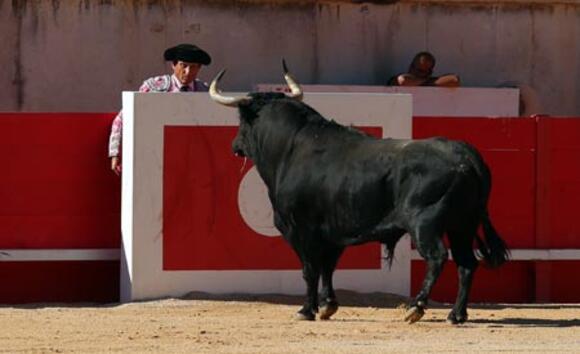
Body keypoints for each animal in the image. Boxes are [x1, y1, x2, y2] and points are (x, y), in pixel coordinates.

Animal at [208, 64, 508, 324]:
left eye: (242, 120)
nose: (235, 146)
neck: (291, 148)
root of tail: (463, 154)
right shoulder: (333, 232)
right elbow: (327, 267)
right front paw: (328, 306)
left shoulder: (300, 229)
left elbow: (309, 268)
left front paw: (306, 310)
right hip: (463, 225)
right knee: (466, 263)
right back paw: (456, 315)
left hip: (426, 224)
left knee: (437, 257)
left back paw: (416, 307)